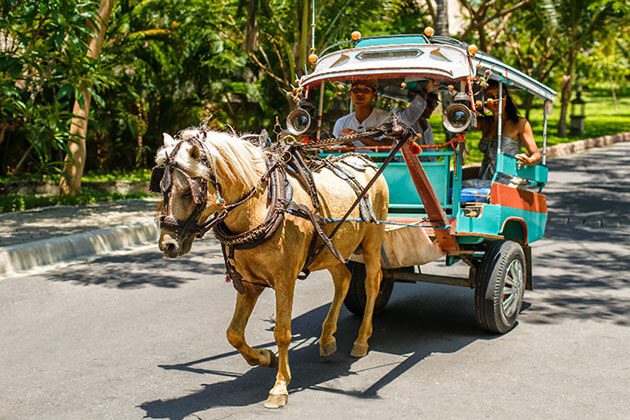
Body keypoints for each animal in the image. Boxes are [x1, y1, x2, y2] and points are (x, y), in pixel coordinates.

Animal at [154, 130, 390, 408]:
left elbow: (282, 333)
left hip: (372, 242)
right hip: (331, 249)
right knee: (343, 278)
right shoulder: (248, 283)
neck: (259, 208)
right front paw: (264, 357)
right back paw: (327, 338)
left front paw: (279, 386)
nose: (168, 244)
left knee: (372, 283)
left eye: (188, 192)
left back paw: (362, 340)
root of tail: (364, 159)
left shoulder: (284, 280)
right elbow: (234, 333)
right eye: (162, 189)